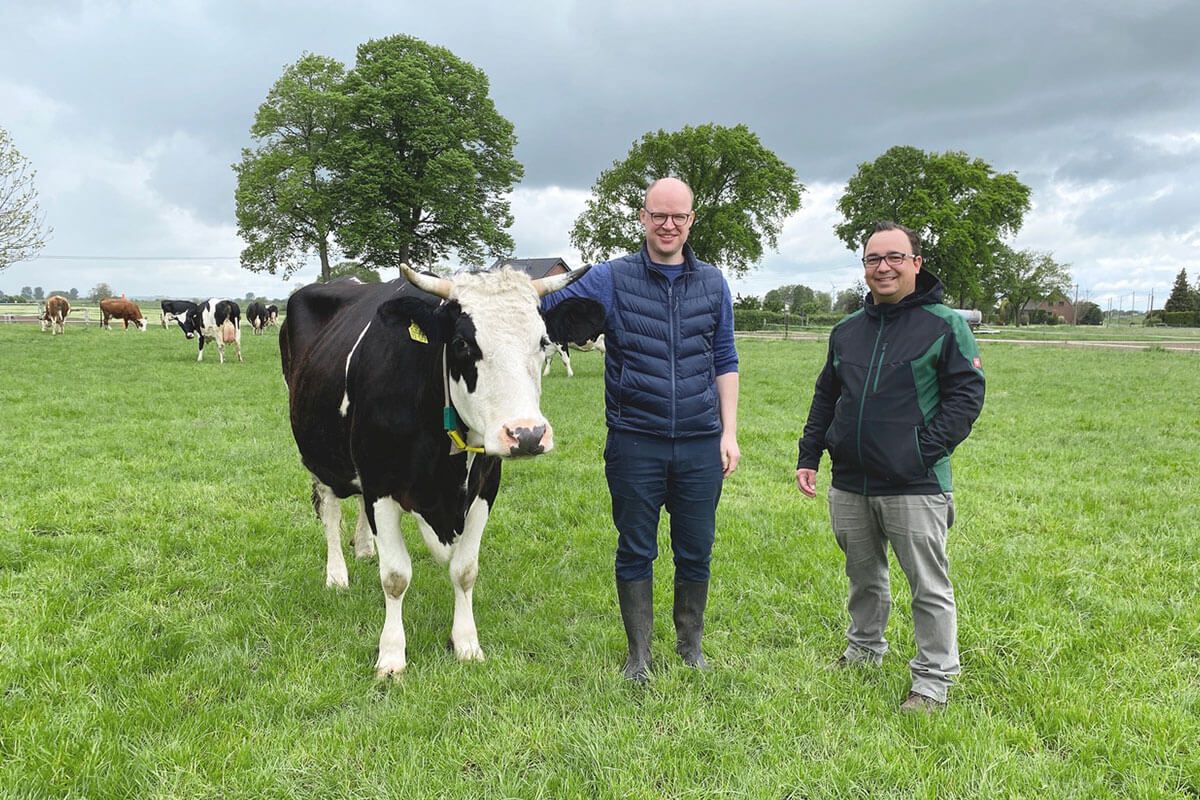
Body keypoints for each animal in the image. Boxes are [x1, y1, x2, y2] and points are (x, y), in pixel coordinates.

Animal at [278, 266, 600, 681]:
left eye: (543, 341)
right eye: (462, 344)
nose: (527, 434)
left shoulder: (485, 486)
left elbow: (464, 570)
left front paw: (466, 644)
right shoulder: (380, 483)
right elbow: (395, 576)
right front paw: (391, 656)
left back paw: (365, 548)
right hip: (316, 453)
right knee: (330, 512)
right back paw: (337, 575)